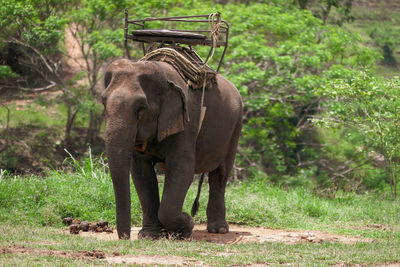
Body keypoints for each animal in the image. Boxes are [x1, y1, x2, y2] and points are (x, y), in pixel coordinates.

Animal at [101, 58, 242, 241]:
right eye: (103, 103)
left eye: (141, 107)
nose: (125, 238)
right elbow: (141, 173)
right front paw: (150, 235)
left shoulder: (186, 122)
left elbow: (182, 169)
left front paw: (186, 226)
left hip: (236, 128)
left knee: (220, 174)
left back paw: (219, 230)